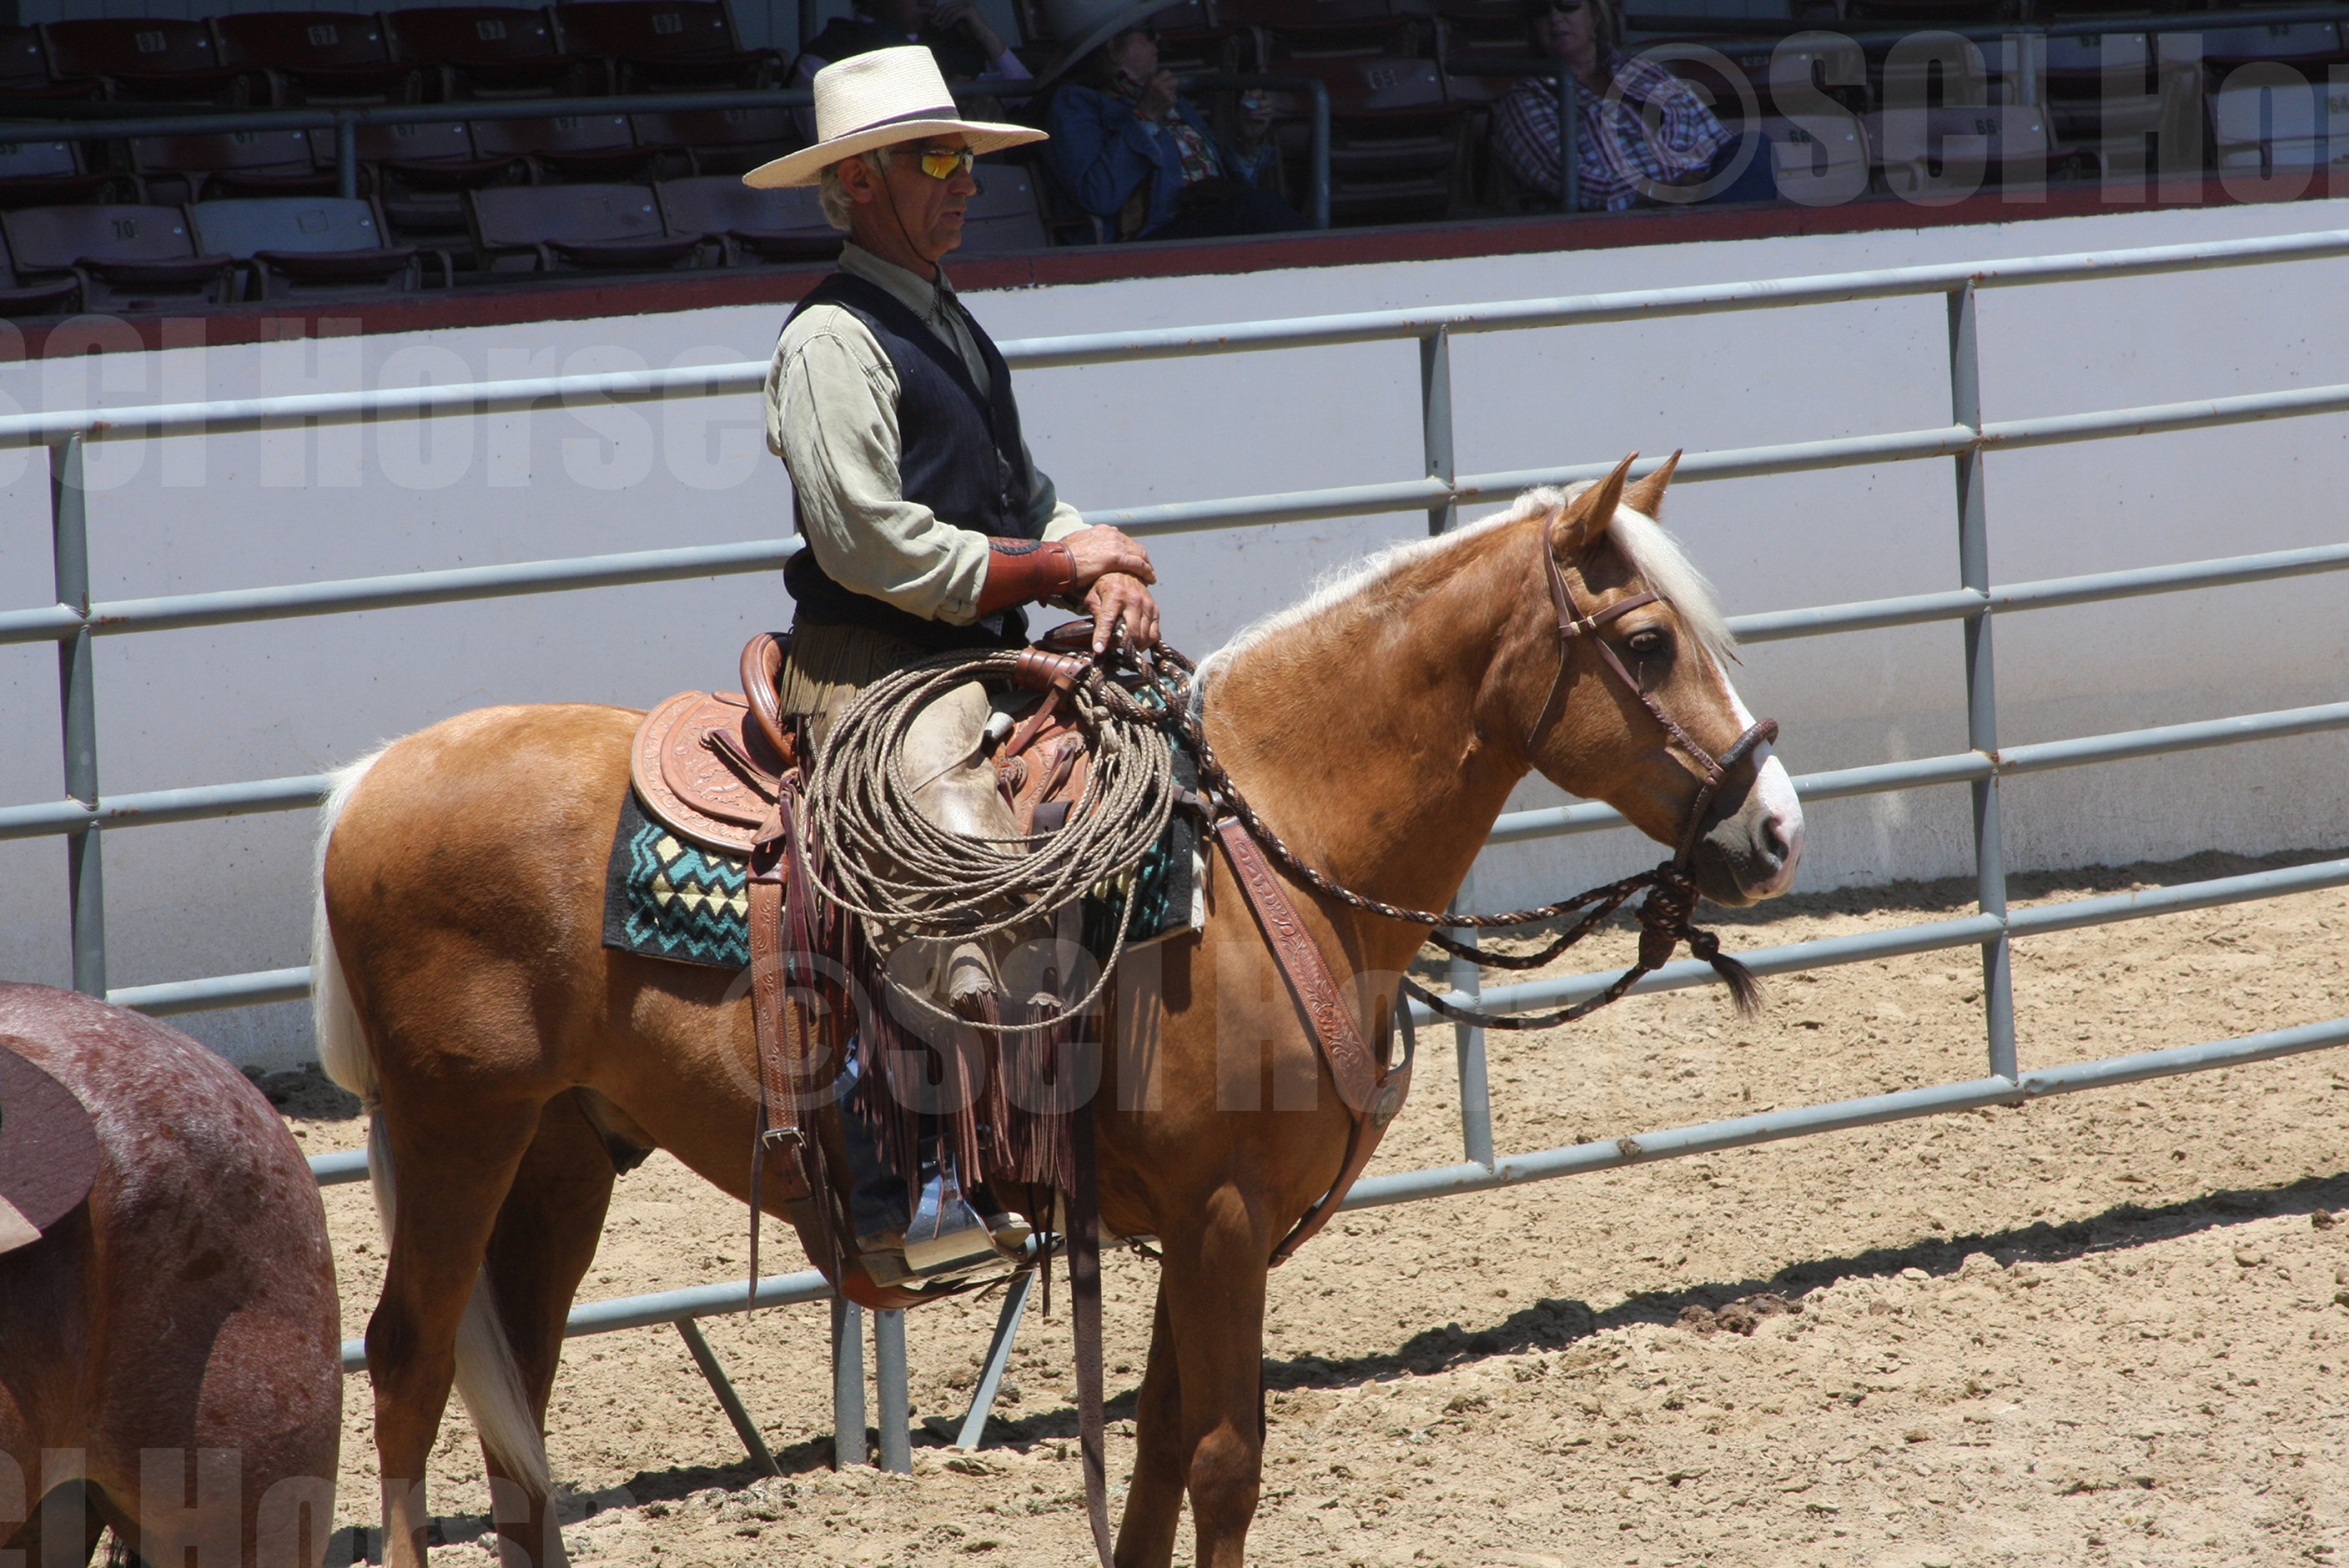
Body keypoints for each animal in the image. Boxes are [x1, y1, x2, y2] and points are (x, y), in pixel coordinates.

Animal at [313, 456, 1804, 1568]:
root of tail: (365, 784)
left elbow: (1154, 1459)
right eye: (1648, 641)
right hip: (456, 1133)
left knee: (516, 1402)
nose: (1776, 832)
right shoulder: (1221, 1216)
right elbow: (1224, 1461)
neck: (1265, 849)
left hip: (561, 1157)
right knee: (409, 1363)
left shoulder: (1198, 1226)